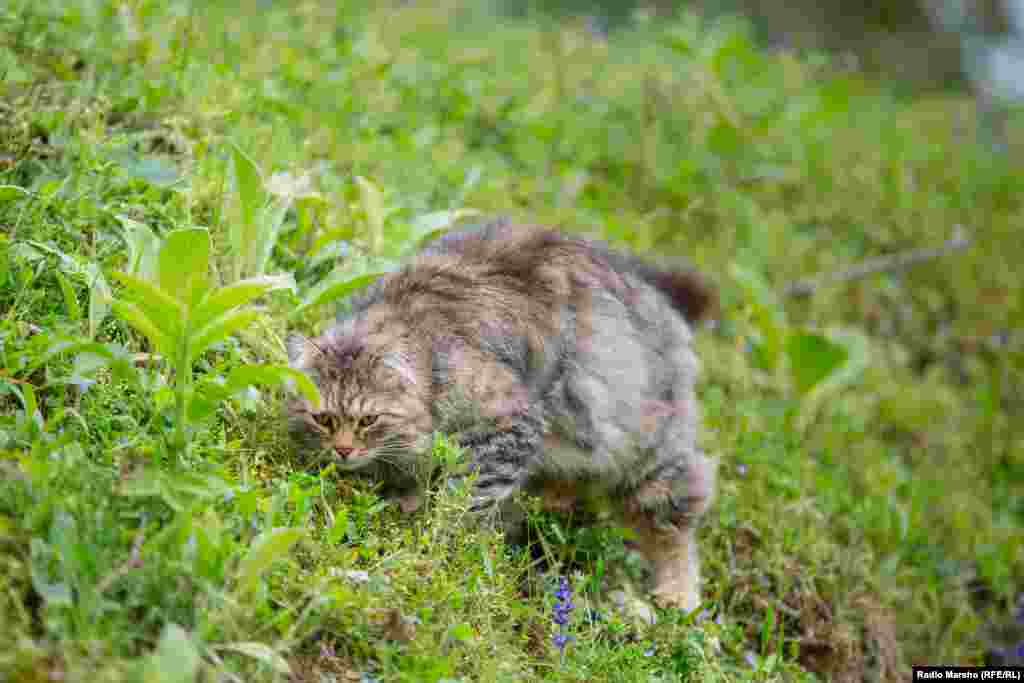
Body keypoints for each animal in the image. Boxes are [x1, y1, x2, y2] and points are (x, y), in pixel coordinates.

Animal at [286, 222, 720, 610]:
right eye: (323, 419)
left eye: (368, 421)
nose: (342, 451)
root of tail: (656, 293)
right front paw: (410, 500)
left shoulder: (508, 424)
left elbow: (465, 502)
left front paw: (440, 549)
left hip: (645, 455)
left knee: (678, 516)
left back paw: (678, 596)